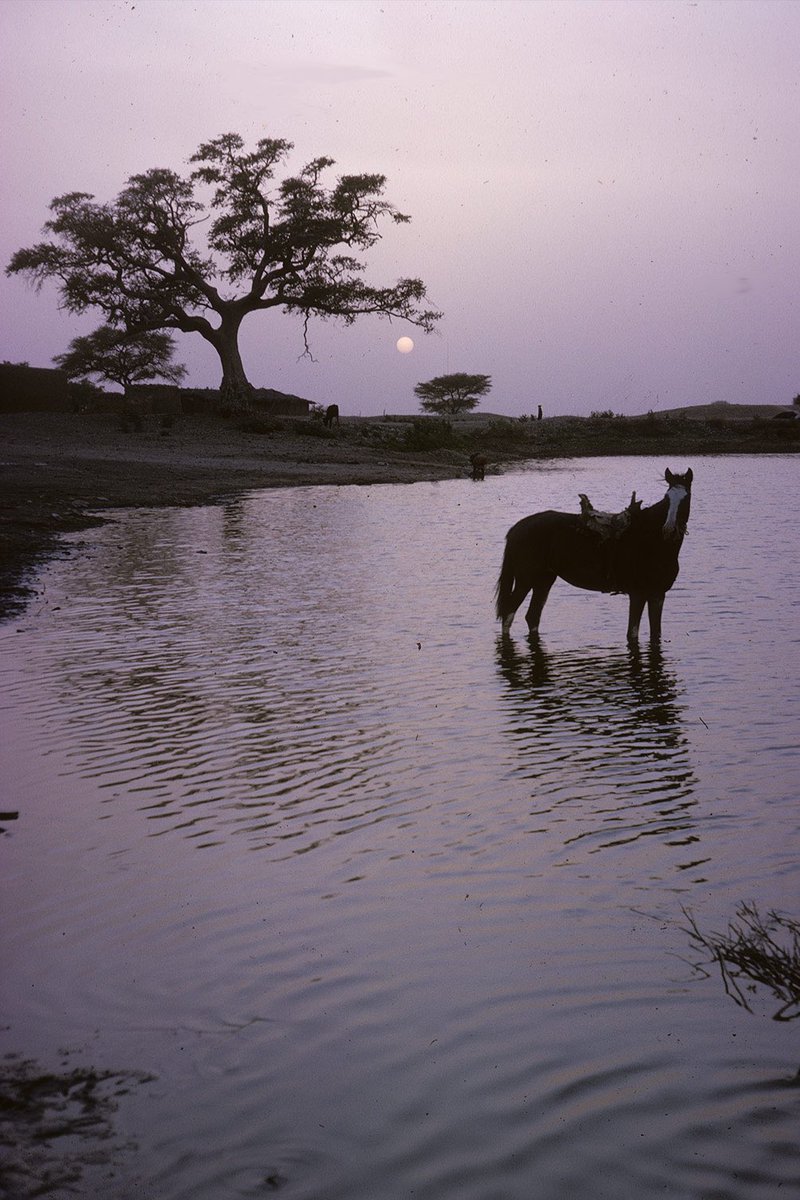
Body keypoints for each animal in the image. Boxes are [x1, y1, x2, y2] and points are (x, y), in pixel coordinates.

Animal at [495, 468, 692, 642]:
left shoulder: (658, 595)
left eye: (685, 498)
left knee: (532, 617)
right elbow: (632, 633)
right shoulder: (638, 594)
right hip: (525, 581)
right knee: (508, 613)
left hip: (543, 581)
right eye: (667, 498)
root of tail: (516, 529)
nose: (669, 529)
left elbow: (656, 634)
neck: (652, 542)